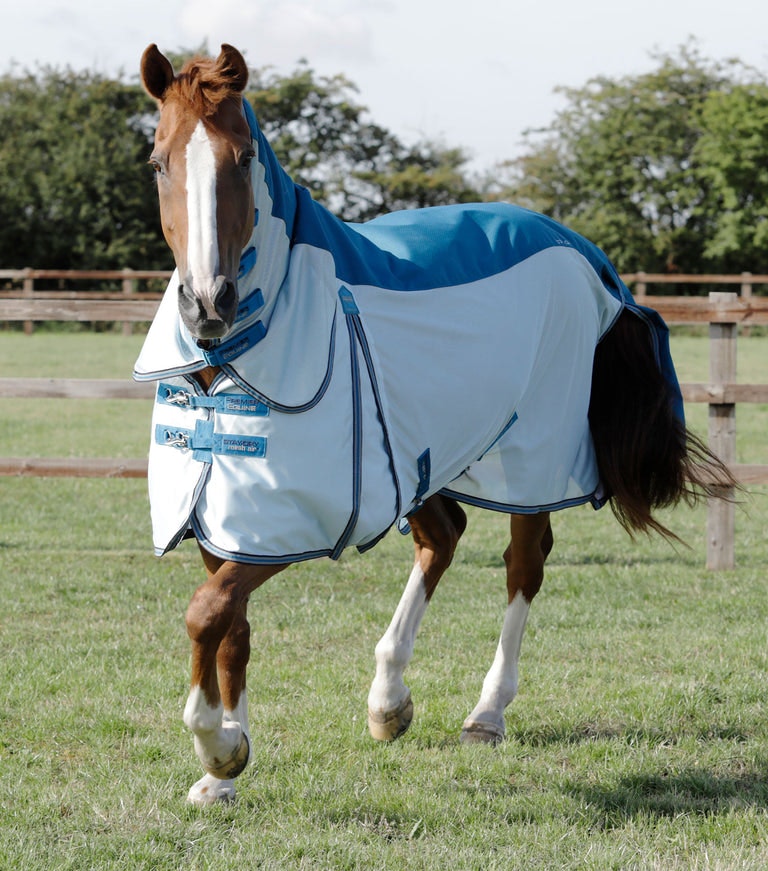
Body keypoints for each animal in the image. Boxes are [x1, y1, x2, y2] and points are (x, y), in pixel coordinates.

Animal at [136, 41, 732, 804]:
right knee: (443, 537)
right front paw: (223, 771)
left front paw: (219, 745)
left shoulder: (305, 518)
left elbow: (206, 612)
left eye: (242, 159)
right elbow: (229, 624)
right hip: (425, 455)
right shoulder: (232, 515)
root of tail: (583, 253)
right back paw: (388, 701)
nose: (208, 303)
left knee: (524, 562)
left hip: (529, 455)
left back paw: (486, 712)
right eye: (160, 161)